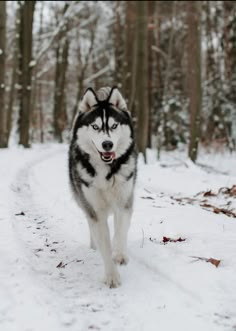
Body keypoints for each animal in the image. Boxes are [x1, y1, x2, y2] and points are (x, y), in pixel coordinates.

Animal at [68, 88, 137, 288]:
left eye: (113, 126)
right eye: (95, 127)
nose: (107, 144)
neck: (107, 172)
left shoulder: (124, 202)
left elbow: (121, 230)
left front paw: (119, 253)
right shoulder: (95, 210)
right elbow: (104, 244)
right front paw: (111, 276)